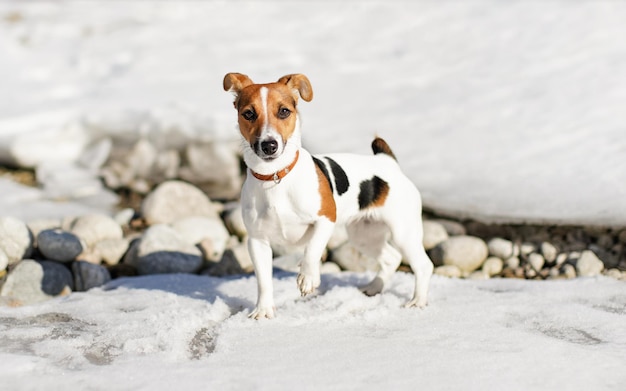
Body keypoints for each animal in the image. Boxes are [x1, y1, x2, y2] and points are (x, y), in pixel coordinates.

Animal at [222, 73, 432, 318]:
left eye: (283, 111)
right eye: (248, 114)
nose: (269, 145)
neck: (275, 177)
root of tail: (387, 162)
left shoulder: (326, 219)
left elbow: (312, 250)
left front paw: (308, 278)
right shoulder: (257, 241)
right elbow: (264, 281)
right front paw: (263, 311)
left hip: (403, 233)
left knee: (423, 265)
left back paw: (418, 301)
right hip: (364, 235)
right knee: (391, 259)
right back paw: (373, 287)